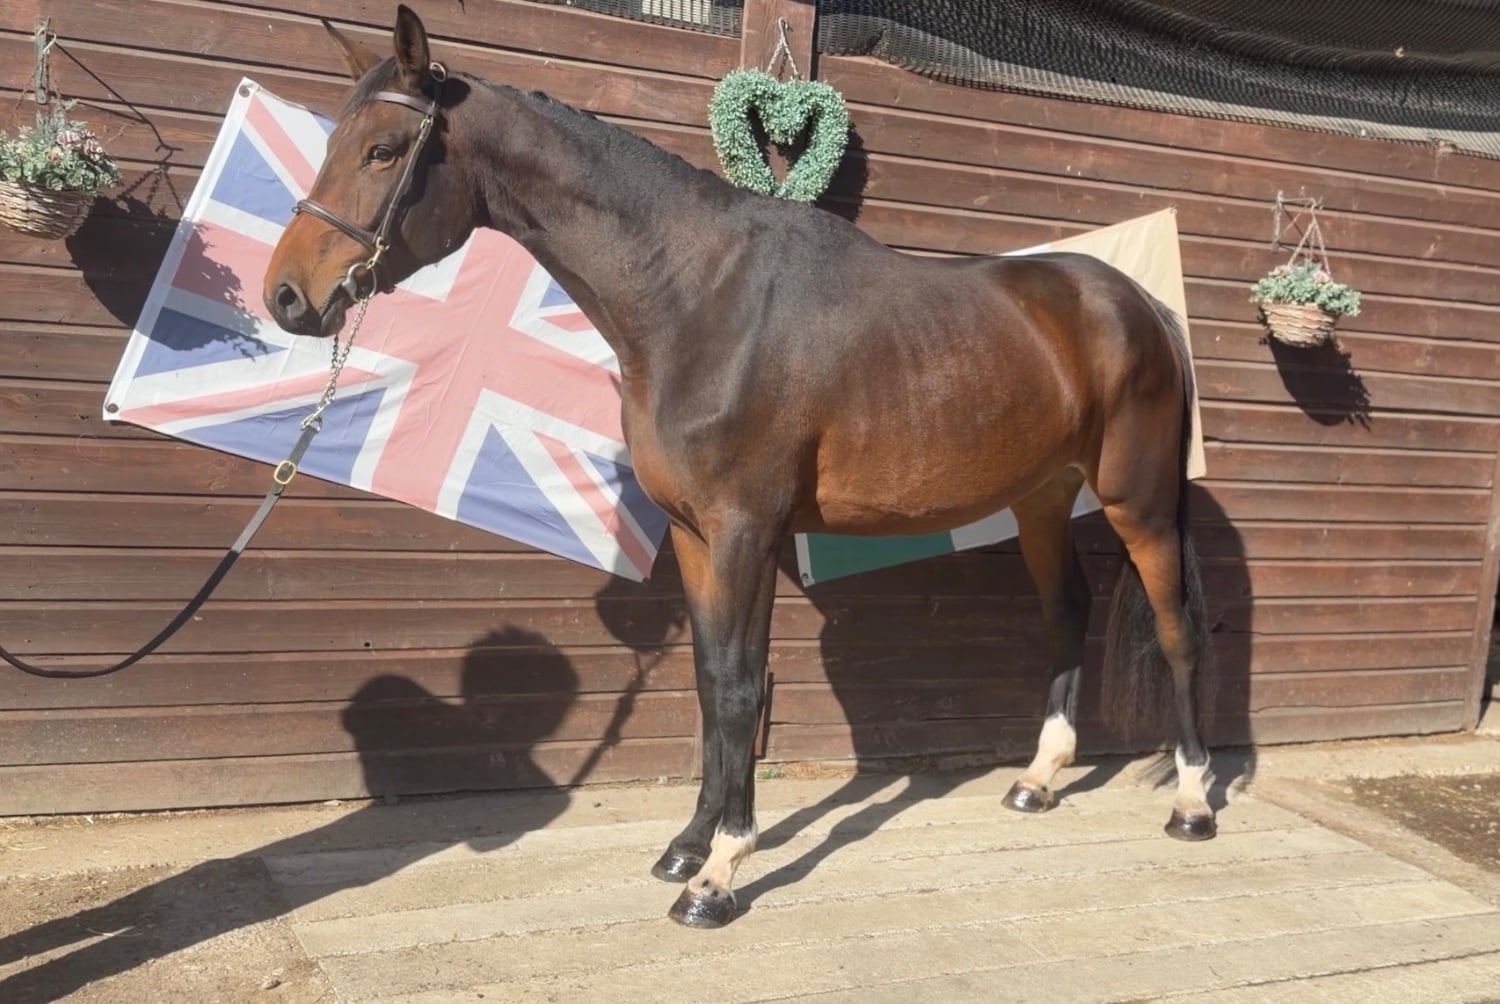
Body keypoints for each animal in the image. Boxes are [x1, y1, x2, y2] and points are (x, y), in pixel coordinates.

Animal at [263, 5, 1213, 929]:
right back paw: (1038, 781)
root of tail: (1143, 305)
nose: (285, 296)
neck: (699, 297)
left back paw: (1195, 802)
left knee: (1175, 627)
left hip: (1137, 503)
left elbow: (738, 687)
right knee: (1068, 611)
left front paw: (717, 876)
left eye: (384, 151)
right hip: (1043, 502)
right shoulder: (698, 535)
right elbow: (711, 678)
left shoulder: (743, 532)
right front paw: (690, 845)